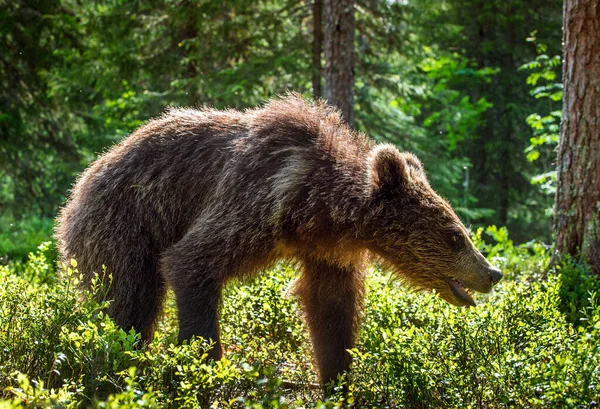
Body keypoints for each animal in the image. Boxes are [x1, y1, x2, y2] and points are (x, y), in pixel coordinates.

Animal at [56, 94, 502, 384]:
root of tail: (79, 186)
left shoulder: (327, 251)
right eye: (455, 236)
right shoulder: (253, 200)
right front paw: (203, 364)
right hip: (126, 224)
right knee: (129, 301)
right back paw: (119, 362)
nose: (493, 272)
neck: (315, 205)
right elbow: (192, 262)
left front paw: (338, 379)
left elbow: (331, 310)